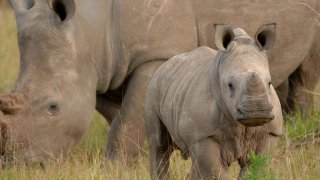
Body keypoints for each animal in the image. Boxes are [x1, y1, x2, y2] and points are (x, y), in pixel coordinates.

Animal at [0, 0, 318, 163]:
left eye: (53, 107)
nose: (20, 164)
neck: (93, 26)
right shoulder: (103, 66)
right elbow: (123, 117)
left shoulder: (157, 54)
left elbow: (125, 124)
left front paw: (117, 166)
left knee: (307, 72)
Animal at [145, 24, 282, 180]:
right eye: (230, 85)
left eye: (270, 83)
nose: (256, 111)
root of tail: (164, 65)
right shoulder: (203, 136)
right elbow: (216, 172)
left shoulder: (270, 133)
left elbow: (256, 169)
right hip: (154, 88)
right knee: (158, 145)